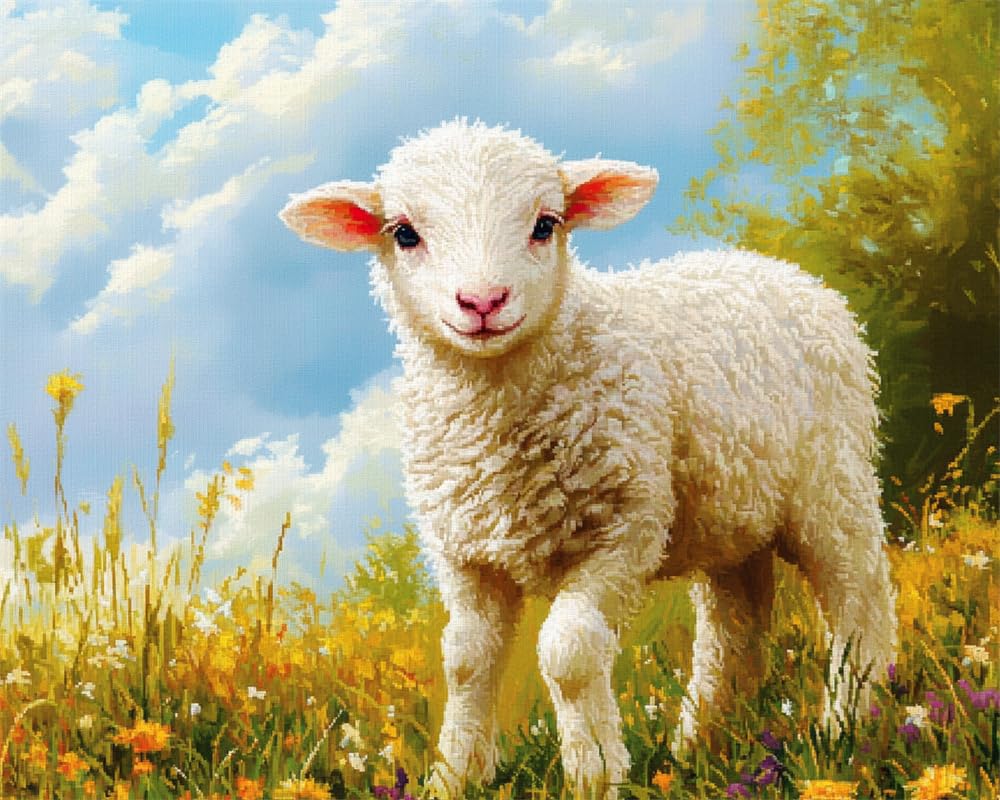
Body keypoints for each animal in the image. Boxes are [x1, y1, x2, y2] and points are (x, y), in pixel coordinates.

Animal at [280, 119, 898, 799]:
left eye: (545, 224)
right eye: (405, 233)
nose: (483, 301)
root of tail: (783, 270)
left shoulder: (625, 528)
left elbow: (568, 652)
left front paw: (595, 771)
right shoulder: (466, 551)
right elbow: (465, 659)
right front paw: (456, 776)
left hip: (832, 478)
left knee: (858, 593)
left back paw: (850, 719)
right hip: (731, 509)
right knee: (734, 619)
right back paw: (701, 741)